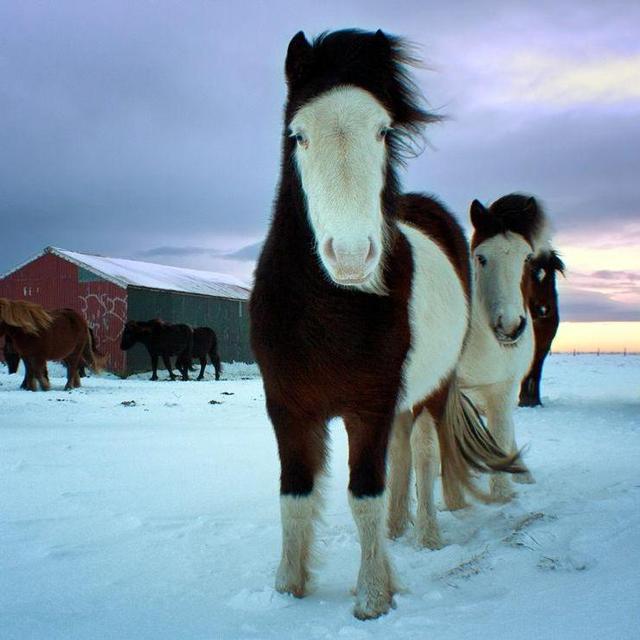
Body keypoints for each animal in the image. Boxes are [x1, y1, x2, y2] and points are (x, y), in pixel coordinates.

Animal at [249, 29, 522, 620]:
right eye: (298, 136)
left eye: (382, 131)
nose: (352, 256)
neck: (329, 314)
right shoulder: (287, 407)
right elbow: (295, 496)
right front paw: (288, 587)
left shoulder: (368, 407)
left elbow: (364, 496)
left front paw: (373, 597)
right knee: (400, 456)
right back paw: (400, 531)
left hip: (431, 392)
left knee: (420, 454)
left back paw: (425, 535)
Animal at [388, 194, 547, 549]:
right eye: (481, 257)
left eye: (527, 258)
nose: (510, 326)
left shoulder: (502, 388)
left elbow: (500, 432)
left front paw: (501, 493)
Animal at [519, 249, 564, 406]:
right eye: (531, 271)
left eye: (553, 273)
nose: (543, 309)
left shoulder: (543, 346)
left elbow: (536, 372)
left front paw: (533, 401)